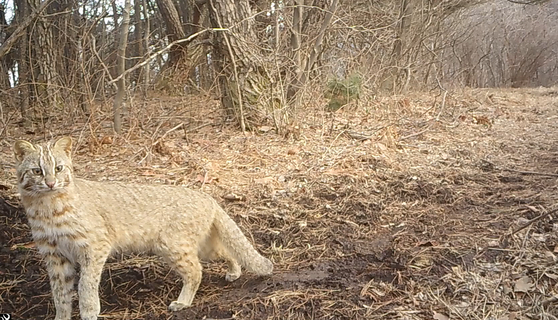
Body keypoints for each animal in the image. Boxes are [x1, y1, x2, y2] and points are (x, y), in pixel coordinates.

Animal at [13, 137, 274, 320]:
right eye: (37, 171)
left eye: (58, 168)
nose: (50, 183)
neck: (46, 207)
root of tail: (206, 196)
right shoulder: (54, 255)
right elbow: (60, 293)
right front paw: (62, 316)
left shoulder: (94, 248)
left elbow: (85, 286)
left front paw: (89, 312)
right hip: (198, 245)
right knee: (226, 251)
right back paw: (234, 272)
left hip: (172, 246)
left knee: (196, 271)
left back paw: (183, 303)